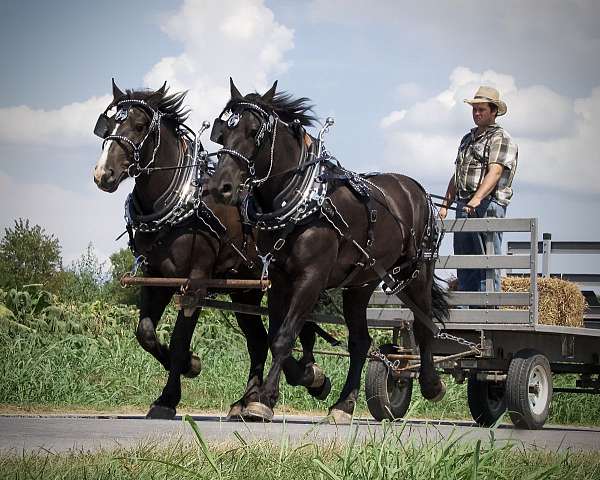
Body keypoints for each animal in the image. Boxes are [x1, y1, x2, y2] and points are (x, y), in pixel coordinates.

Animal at [92, 80, 332, 418]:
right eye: (107, 125)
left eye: (139, 126)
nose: (103, 174)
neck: (180, 204)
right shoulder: (155, 278)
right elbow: (146, 333)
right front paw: (191, 365)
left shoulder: (196, 280)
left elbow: (179, 340)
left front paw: (169, 396)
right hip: (246, 291)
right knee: (259, 341)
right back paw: (248, 398)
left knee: (296, 331)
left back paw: (310, 377)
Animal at [209, 80, 448, 422]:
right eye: (222, 132)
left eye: (255, 131)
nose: (221, 187)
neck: (301, 202)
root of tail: (415, 187)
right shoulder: (280, 279)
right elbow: (275, 336)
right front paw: (311, 379)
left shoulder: (312, 278)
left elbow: (284, 338)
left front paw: (265, 399)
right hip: (361, 283)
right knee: (360, 341)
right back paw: (343, 404)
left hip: (416, 272)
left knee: (424, 327)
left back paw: (431, 384)